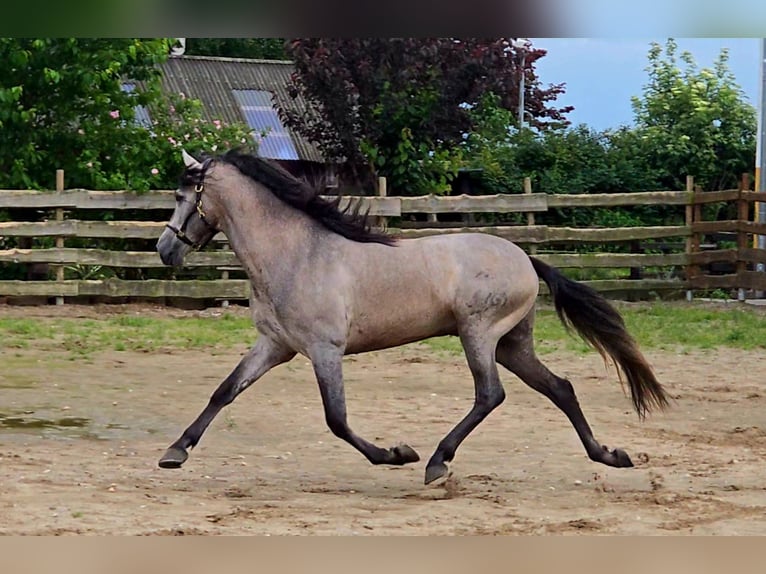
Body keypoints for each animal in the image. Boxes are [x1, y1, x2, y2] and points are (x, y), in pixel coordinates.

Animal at [153, 150, 668, 486]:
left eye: (183, 194)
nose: (165, 250)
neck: (298, 253)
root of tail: (524, 258)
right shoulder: (274, 345)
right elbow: (224, 391)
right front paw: (175, 452)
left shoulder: (324, 350)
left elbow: (336, 419)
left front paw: (396, 454)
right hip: (511, 344)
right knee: (560, 388)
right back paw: (609, 456)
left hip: (479, 334)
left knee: (490, 394)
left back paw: (437, 461)